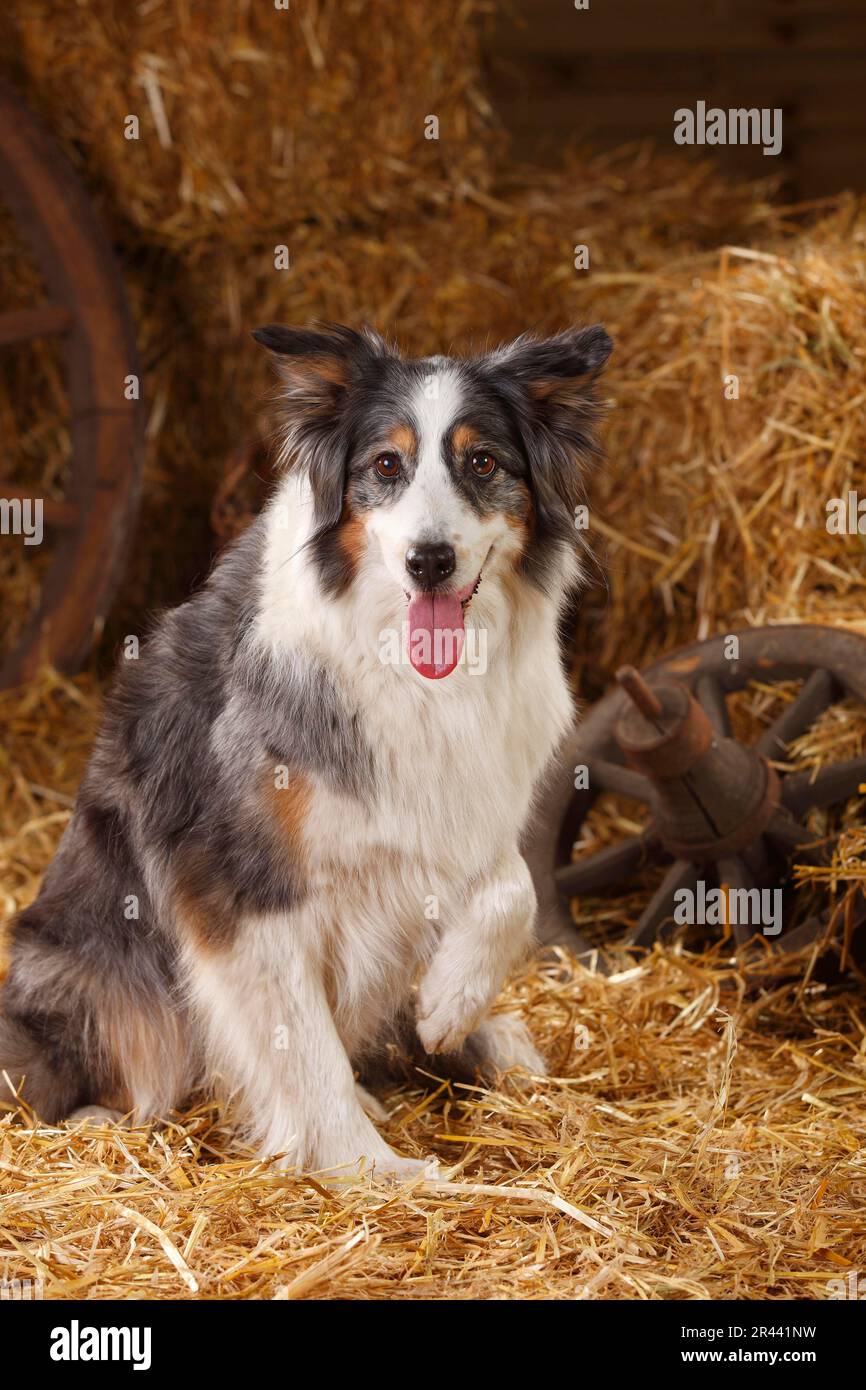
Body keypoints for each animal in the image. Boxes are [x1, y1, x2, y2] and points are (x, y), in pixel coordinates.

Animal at [0, 319, 614, 1178]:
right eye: (386, 466)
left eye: (483, 463)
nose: (430, 560)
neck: (412, 669)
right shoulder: (240, 879)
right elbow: (305, 1045)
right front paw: (371, 1170)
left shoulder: (460, 813)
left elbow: (513, 885)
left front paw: (448, 1003)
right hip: (83, 971)